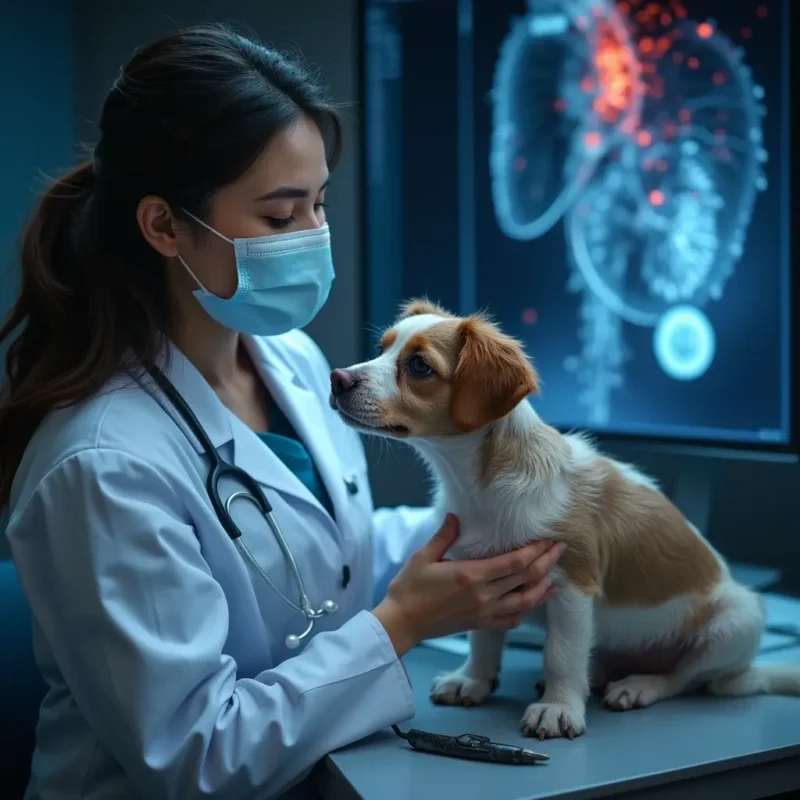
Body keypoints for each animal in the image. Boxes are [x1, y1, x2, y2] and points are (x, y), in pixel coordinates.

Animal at [326, 302, 800, 744]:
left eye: (419, 366)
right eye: (381, 348)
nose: (337, 378)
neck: (477, 485)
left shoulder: (572, 581)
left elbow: (562, 652)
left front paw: (558, 707)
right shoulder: (482, 574)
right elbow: (483, 636)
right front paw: (473, 680)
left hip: (735, 622)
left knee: (685, 678)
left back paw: (638, 685)